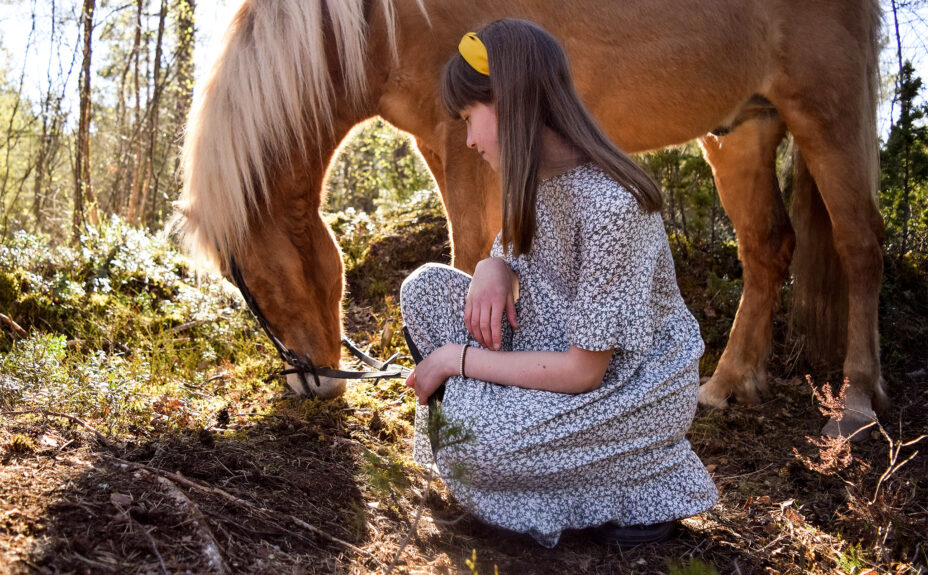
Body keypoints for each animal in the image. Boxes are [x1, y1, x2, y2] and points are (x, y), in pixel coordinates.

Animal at [174, 0, 884, 436]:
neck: (380, 19)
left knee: (860, 244)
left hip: (827, 107)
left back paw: (856, 404)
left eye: (247, 278)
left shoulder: (466, 143)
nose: (311, 384)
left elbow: (467, 252)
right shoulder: (444, 144)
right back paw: (729, 382)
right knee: (767, 247)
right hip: (744, 128)